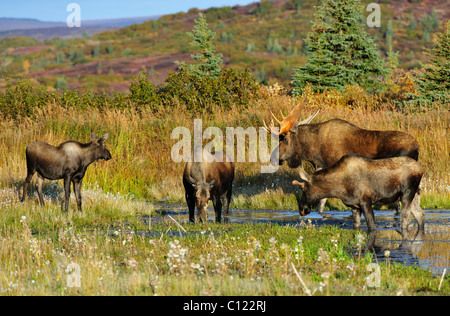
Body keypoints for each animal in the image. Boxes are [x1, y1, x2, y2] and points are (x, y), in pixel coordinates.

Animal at [294, 154, 424, 232]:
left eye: (303, 189)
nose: (301, 209)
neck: (339, 188)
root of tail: (421, 169)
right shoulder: (354, 205)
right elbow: (356, 225)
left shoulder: (365, 201)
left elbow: (371, 226)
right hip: (413, 195)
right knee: (420, 214)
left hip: (407, 193)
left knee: (406, 217)